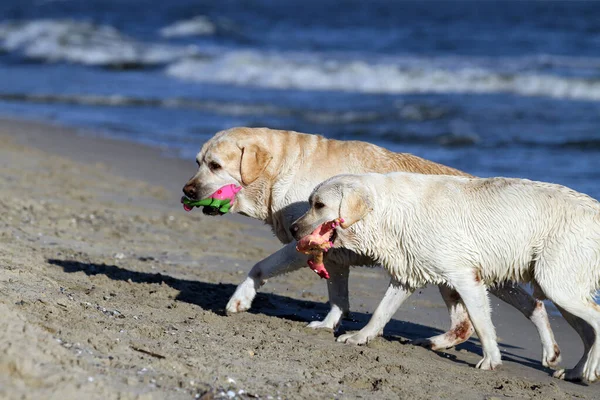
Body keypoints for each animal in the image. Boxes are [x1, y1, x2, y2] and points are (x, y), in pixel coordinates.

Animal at [292, 172, 600, 382]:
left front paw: (491, 361)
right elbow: (380, 312)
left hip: (557, 284)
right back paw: (574, 371)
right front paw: (360, 337)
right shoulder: (407, 274)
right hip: (559, 286)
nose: (294, 229)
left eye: (319, 205)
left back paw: (588, 370)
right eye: (309, 202)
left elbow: (482, 325)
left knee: (594, 319)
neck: (387, 213)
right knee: (584, 330)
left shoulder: (465, 277)